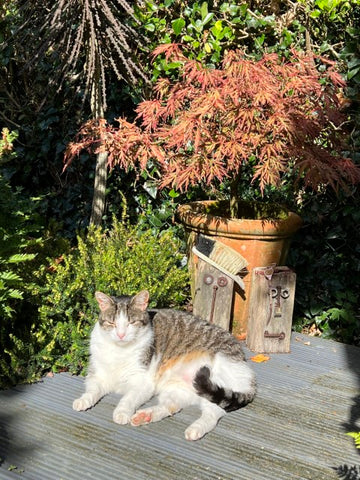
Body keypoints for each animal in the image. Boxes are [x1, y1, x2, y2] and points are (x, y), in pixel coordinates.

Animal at [73, 290, 256, 440]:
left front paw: (122, 412)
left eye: (131, 323)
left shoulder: (142, 382)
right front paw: (83, 400)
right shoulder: (97, 376)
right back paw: (146, 416)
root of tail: (250, 378)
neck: (119, 350)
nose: (121, 334)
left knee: (213, 413)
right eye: (112, 324)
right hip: (177, 389)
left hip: (217, 376)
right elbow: (92, 391)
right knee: (171, 406)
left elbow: (128, 399)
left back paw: (195, 429)